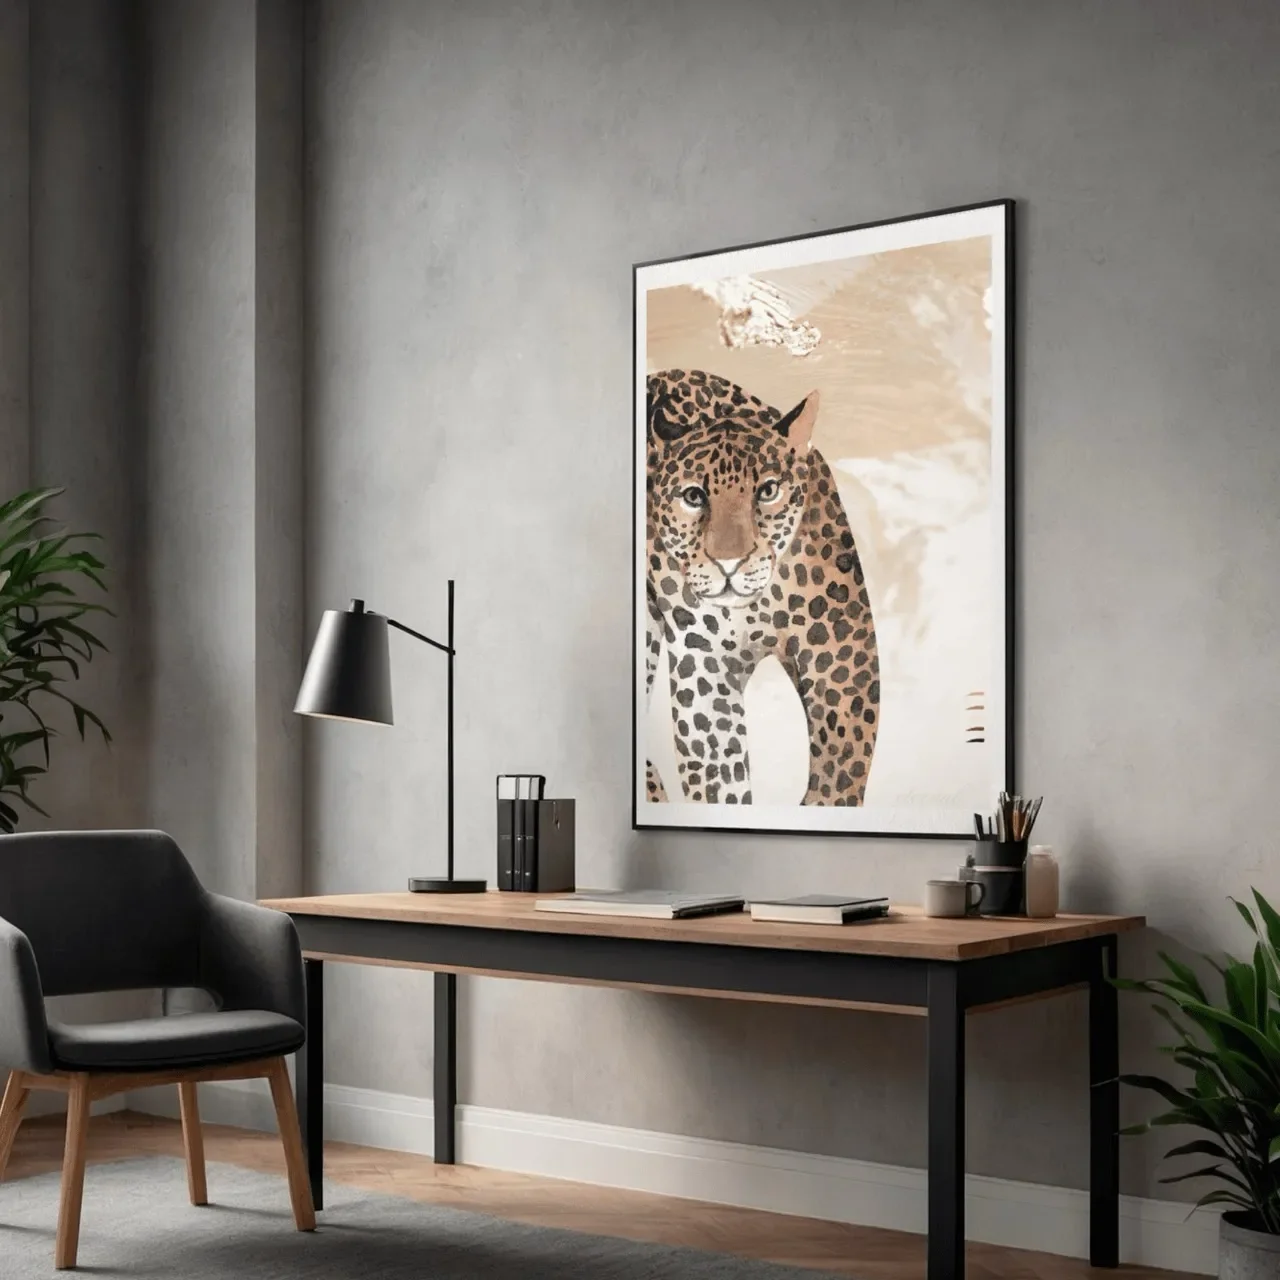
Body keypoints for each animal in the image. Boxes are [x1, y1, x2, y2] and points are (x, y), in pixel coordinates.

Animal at [645, 368, 879, 807]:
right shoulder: (706, 670)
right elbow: (720, 776)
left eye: (768, 491)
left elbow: (842, 765)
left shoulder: (841, 651)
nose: (729, 562)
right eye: (694, 496)